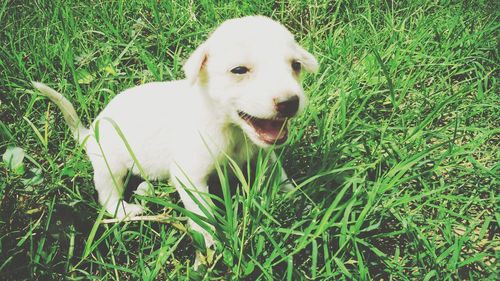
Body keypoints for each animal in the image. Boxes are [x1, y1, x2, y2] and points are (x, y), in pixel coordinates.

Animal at [33, 15, 318, 247]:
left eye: (296, 66)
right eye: (239, 70)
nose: (290, 102)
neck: (232, 130)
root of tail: (90, 134)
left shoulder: (263, 155)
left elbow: (278, 173)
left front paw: (293, 198)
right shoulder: (190, 175)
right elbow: (202, 213)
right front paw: (209, 243)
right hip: (109, 165)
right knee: (108, 196)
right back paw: (126, 210)